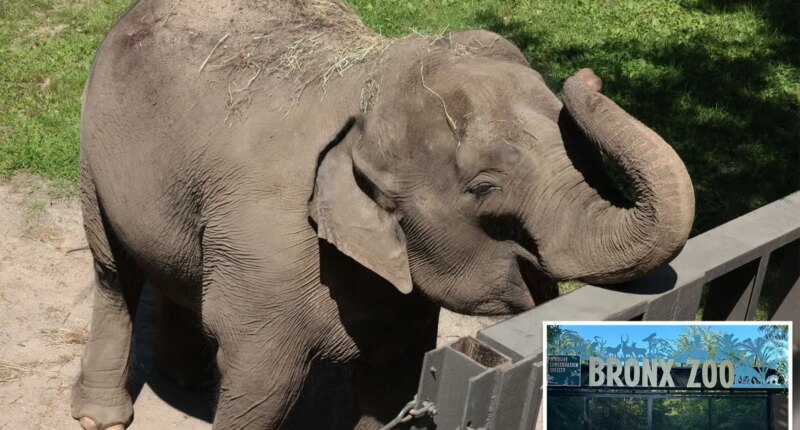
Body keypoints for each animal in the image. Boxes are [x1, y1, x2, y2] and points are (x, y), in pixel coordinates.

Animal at [71, 0, 694, 429]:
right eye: (483, 187)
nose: (591, 77)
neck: (368, 90)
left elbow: (393, 381)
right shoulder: (262, 257)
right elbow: (261, 385)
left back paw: (191, 377)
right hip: (93, 155)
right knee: (113, 273)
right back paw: (104, 416)